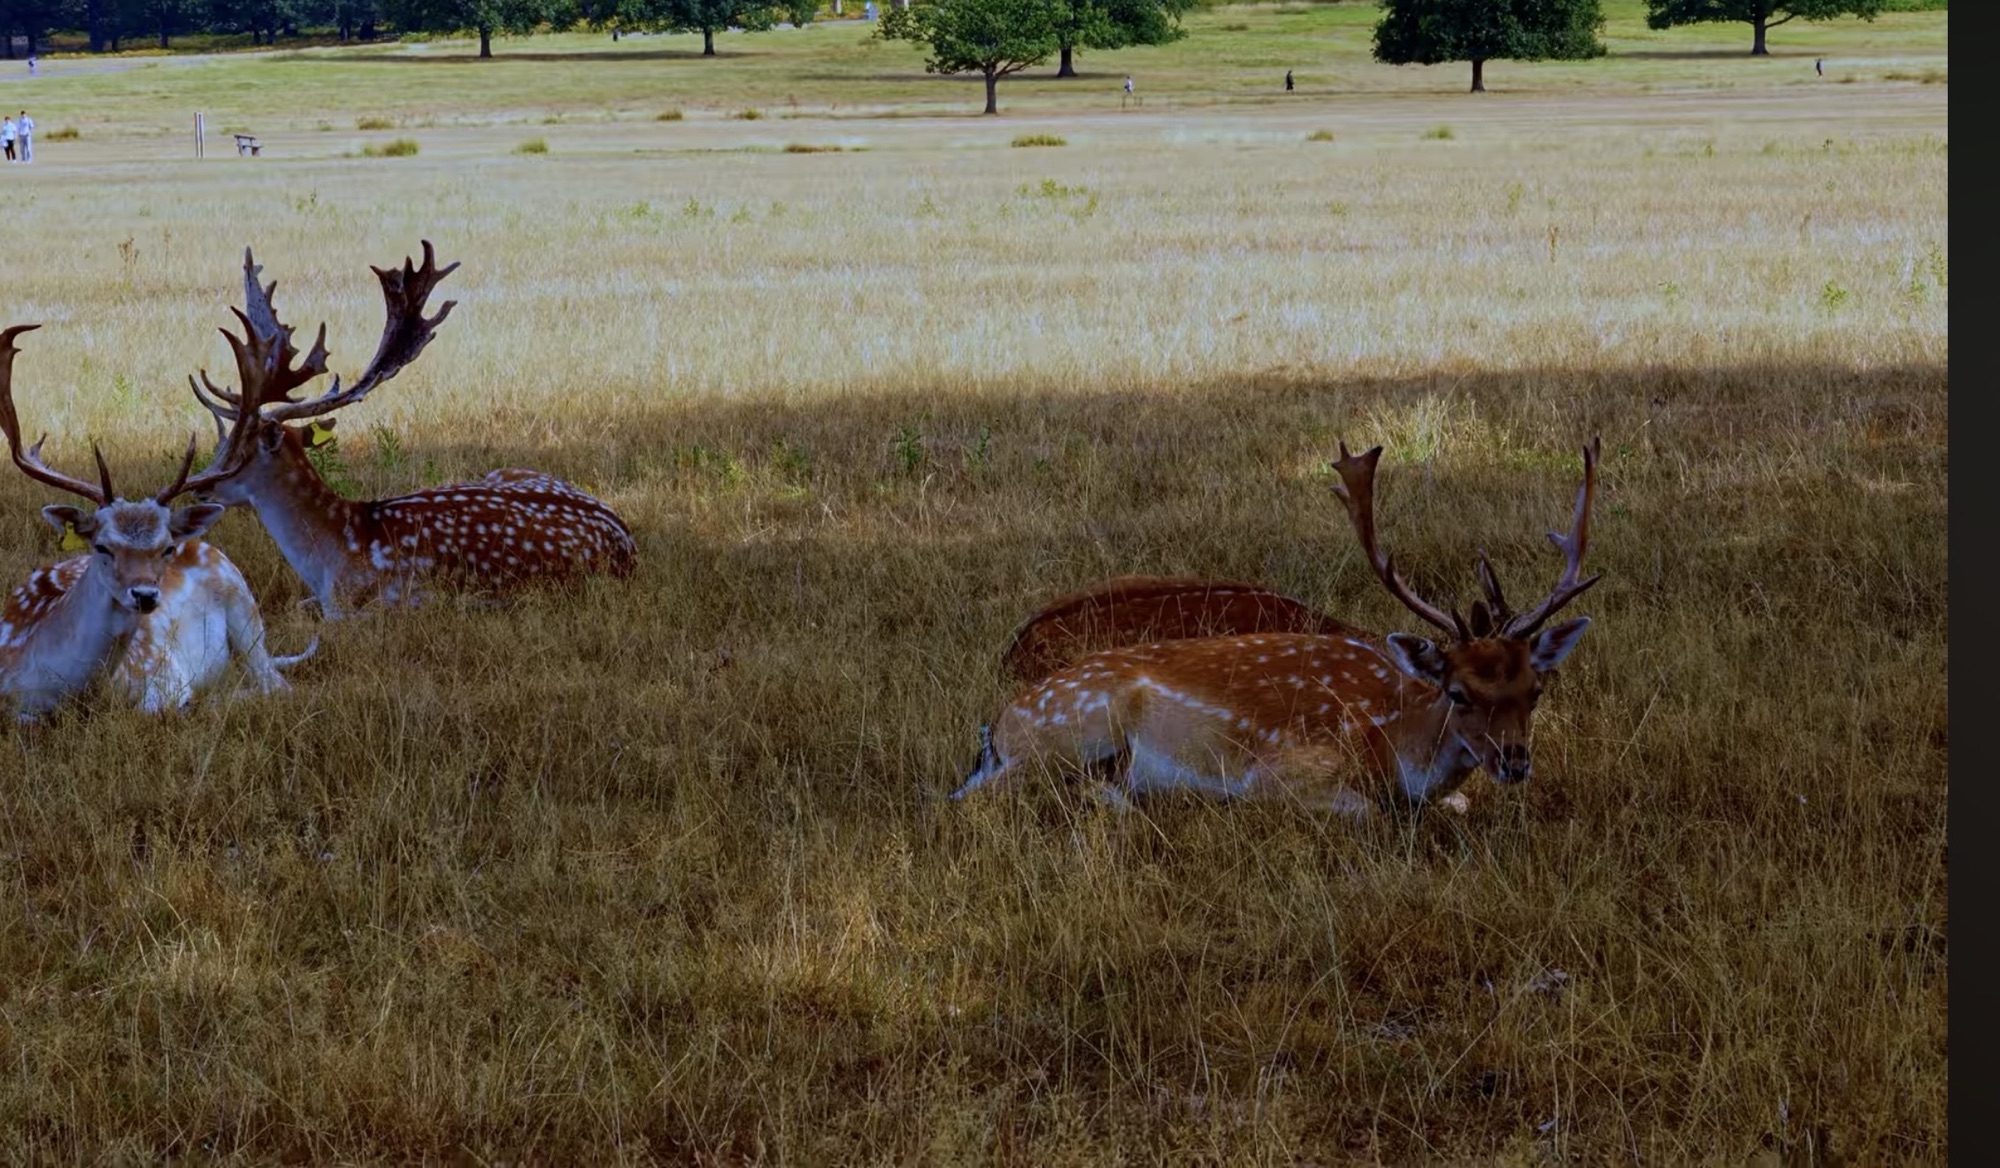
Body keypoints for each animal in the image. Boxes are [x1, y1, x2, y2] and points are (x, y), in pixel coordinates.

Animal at [0, 324, 316, 723]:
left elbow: (157, 708)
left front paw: (198, 701)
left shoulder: (163, 673)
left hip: (246, 607)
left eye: (166, 547)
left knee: (275, 684)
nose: (146, 595)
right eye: (101, 546)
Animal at [954, 438, 1602, 817]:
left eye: (1534, 691)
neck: (1395, 743)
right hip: (1068, 734)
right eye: (1458, 692)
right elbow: (1370, 811)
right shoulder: (1282, 772)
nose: (1515, 762)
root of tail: (1001, 723)